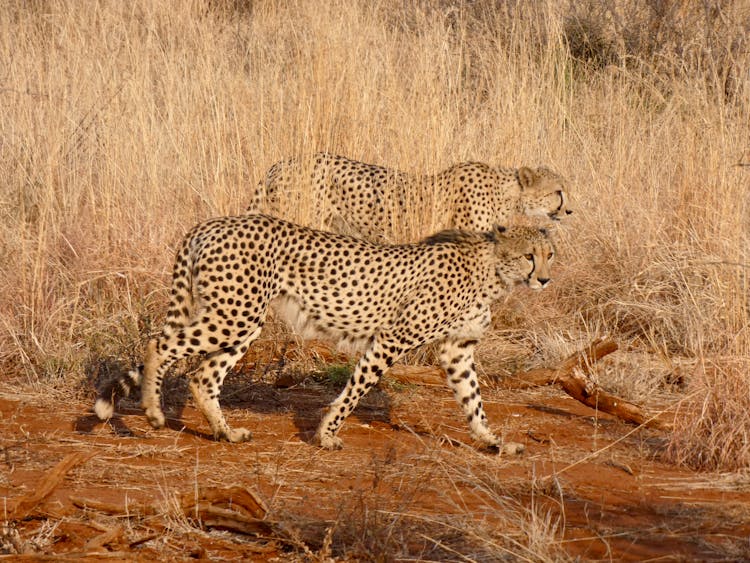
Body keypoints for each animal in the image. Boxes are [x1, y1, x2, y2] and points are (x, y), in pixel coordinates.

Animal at [94, 214, 556, 452]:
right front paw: (327, 434)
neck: (492, 270)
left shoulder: (457, 350)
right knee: (159, 344)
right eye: (528, 256)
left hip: (243, 320)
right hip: (234, 314)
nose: (545, 279)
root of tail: (213, 223)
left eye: (549, 254)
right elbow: (356, 390)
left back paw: (226, 432)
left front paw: (492, 440)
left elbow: (473, 400)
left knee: (202, 376)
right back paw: (153, 412)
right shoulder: (392, 338)